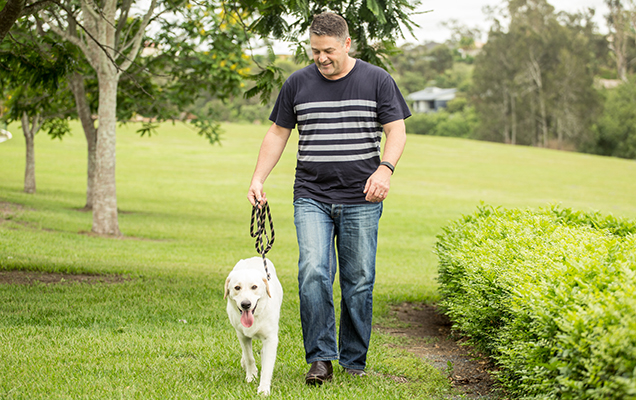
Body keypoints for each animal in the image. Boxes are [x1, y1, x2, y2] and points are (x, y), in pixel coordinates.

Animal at [225, 258, 282, 396]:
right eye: (237, 287)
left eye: (254, 287)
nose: (246, 304)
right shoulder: (242, 336)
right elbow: (249, 357)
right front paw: (251, 377)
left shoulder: (270, 339)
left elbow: (267, 366)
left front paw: (263, 389)